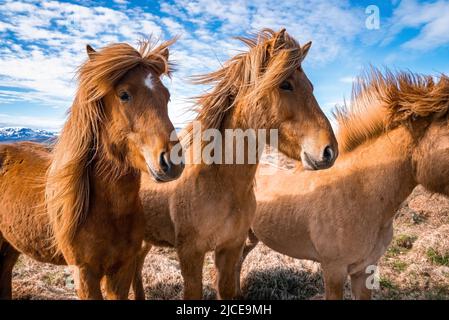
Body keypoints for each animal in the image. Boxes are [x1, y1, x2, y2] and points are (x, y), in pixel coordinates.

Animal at [0, 39, 184, 300]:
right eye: (124, 94)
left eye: (166, 96)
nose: (172, 161)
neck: (107, 211)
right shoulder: (85, 273)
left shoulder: (122, 270)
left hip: (10, 245)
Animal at [131, 28, 338, 300]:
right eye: (285, 84)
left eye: (311, 87)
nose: (329, 151)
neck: (219, 184)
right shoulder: (190, 255)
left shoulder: (230, 249)